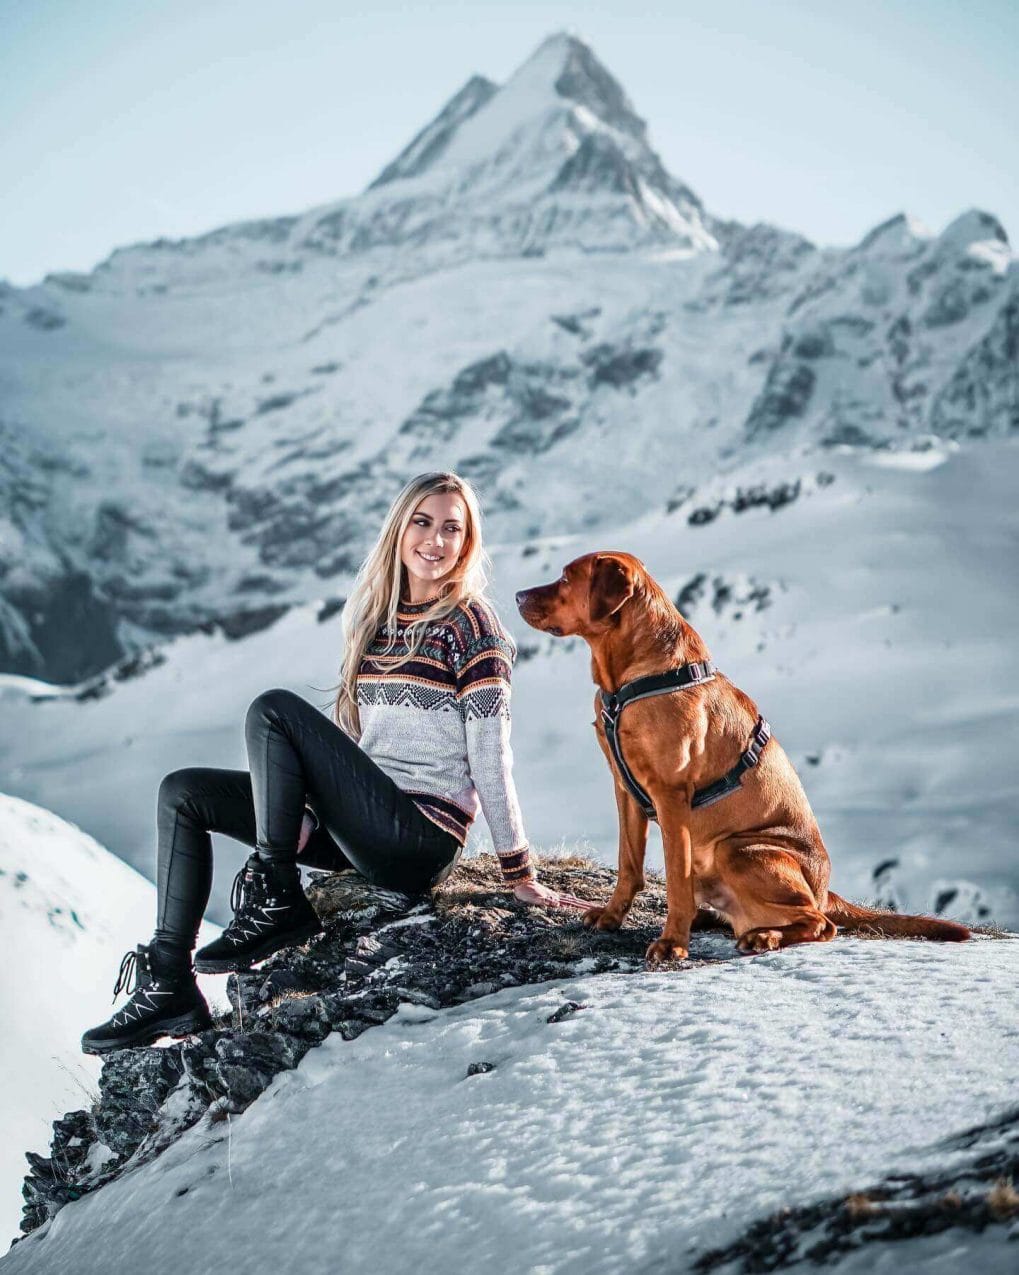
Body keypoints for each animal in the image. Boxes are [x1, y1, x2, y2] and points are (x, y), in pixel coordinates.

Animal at [517, 553, 974, 958]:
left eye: (565, 577)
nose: (518, 594)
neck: (629, 679)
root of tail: (825, 891)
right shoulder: (625, 789)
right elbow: (629, 864)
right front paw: (612, 917)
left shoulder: (670, 796)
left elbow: (675, 879)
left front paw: (672, 943)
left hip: (738, 850)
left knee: (820, 924)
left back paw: (762, 936)